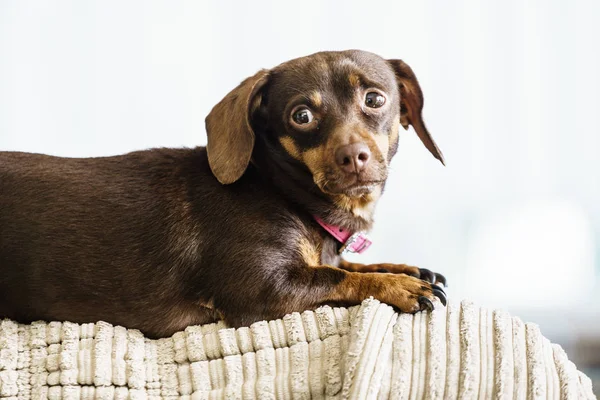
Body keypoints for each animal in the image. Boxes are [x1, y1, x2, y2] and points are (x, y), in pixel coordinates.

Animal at [0, 49, 446, 338]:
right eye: (301, 115)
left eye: (375, 98)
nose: (353, 157)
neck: (284, 193)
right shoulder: (262, 292)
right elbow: (337, 277)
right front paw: (399, 287)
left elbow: (348, 265)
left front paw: (404, 270)